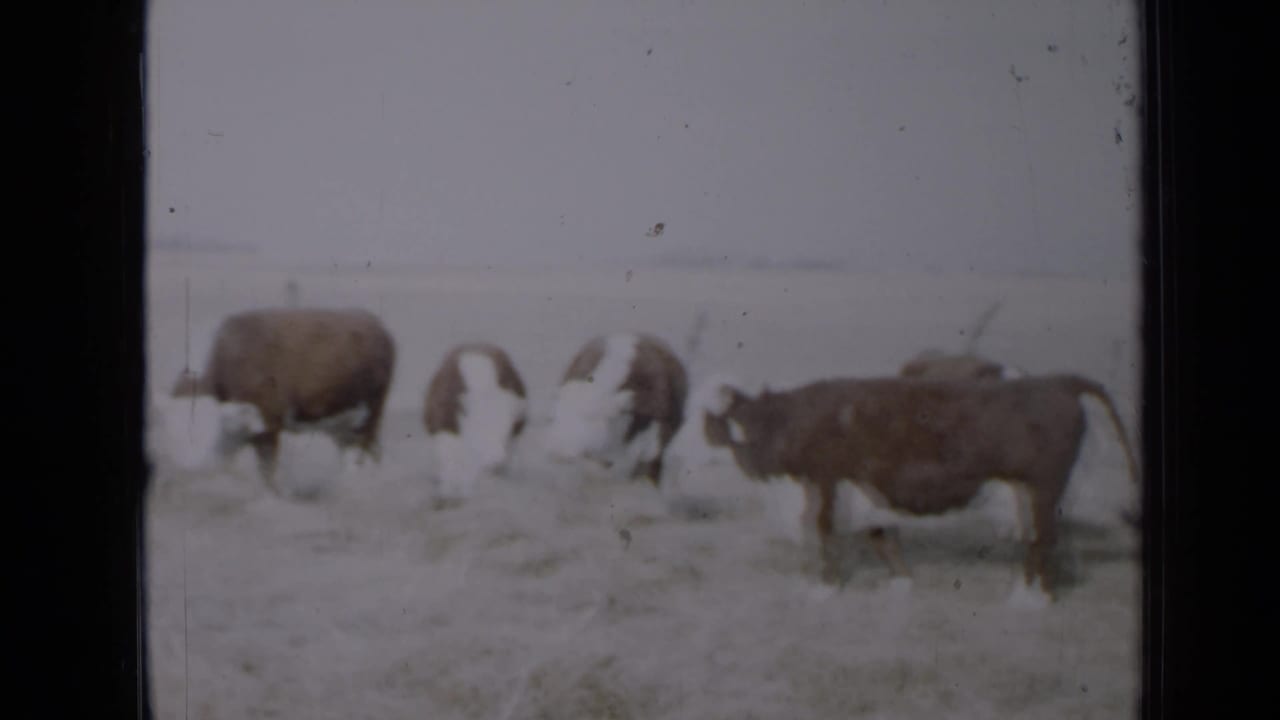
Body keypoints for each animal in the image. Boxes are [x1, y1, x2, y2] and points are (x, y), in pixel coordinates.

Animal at [169, 307, 396, 491]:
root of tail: (380, 328)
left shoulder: (268, 426)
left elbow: (267, 468)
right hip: (346, 425)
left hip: (369, 417)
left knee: (366, 451)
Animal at [424, 343, 528, 502]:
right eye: (479, 427)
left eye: (505, 430)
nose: (496, 458)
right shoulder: (446, 428)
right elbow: (449, 461)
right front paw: (449, 491)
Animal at [701, 374, 1141, 606]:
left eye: (733, 422)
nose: (753, 458)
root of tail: (1058, 381)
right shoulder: (866, 493)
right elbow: (883, 539)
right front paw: (901, 583)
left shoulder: (825, 484)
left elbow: (826, 537)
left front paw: (824, 590)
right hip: (1029, 493)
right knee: (1036, 540)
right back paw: (1024, 587)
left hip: (1044, 488)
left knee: (1045, 539)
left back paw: (1031, 600)